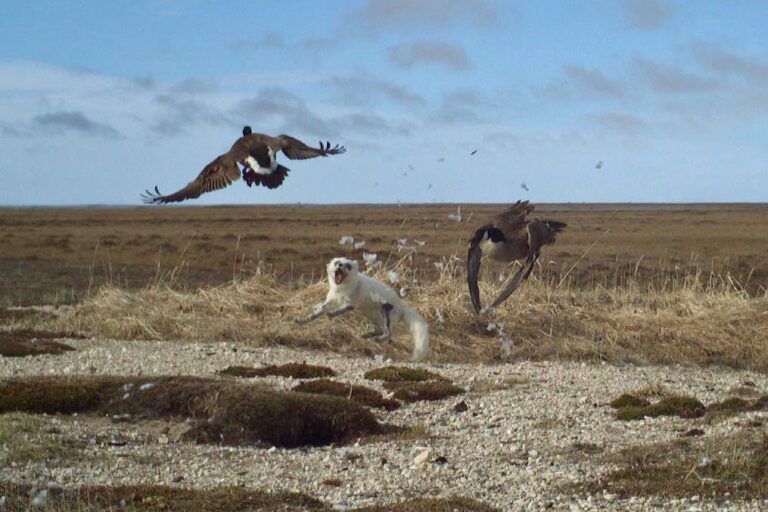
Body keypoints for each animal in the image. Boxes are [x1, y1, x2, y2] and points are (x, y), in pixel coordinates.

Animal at [296, 257, 430, 362]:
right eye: (337, 262)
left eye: (348, 266)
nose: (340, 265)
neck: (341, 290)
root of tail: (402, 307)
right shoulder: (331, 301)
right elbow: (316, 313)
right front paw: (302, 320)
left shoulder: (350, 304)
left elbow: (339, 311)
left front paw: (331, 315)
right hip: (370, 315)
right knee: (379, 330)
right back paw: (365, 335)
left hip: (384, 310)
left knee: (388, 333)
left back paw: (378, 339)